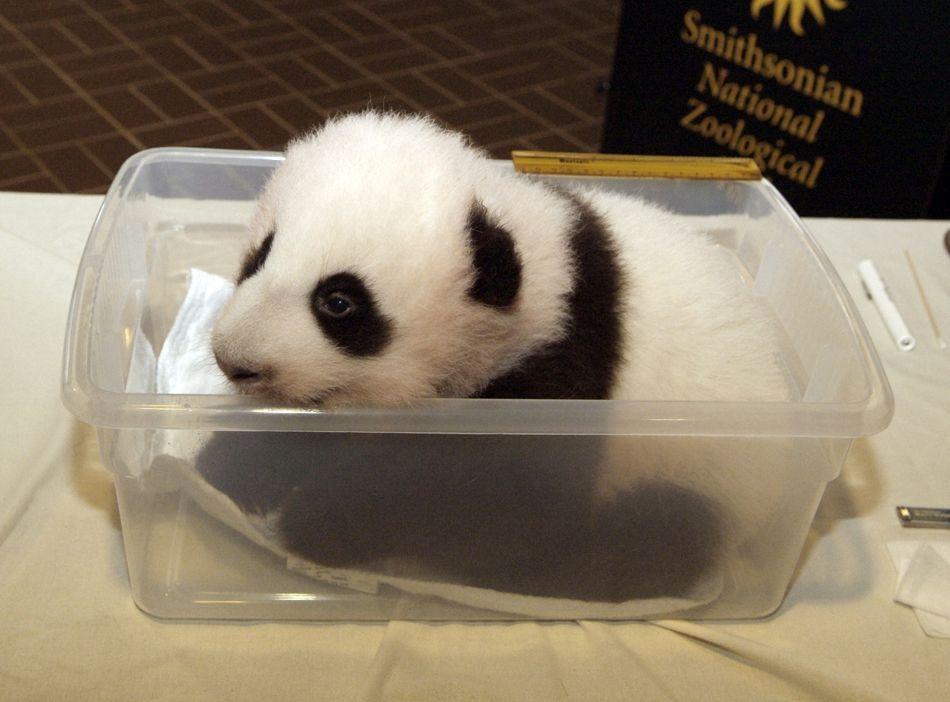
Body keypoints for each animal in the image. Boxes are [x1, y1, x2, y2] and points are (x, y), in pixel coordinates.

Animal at [200, 110, 792, 607]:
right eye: (258, 257)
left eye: (339, 303)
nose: (235, 361)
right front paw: (228, 469)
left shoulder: (559, 376)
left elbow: (492, 503)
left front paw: (317, 524)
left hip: (700, 467)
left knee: (653, 533)